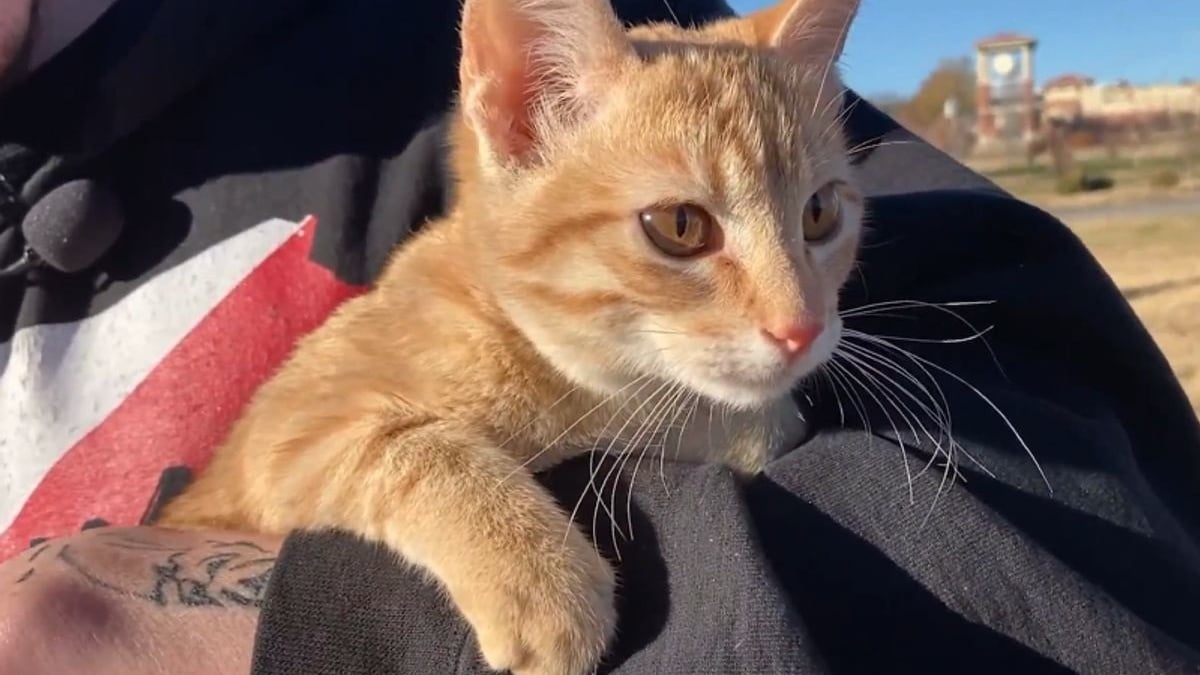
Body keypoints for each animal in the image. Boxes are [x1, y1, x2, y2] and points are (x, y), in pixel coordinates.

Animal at [162, 0, 864, 667]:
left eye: (820, 213)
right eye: (680, 225)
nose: (802, 327)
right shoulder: (288, 432)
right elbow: (417, 450)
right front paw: (541, 581)